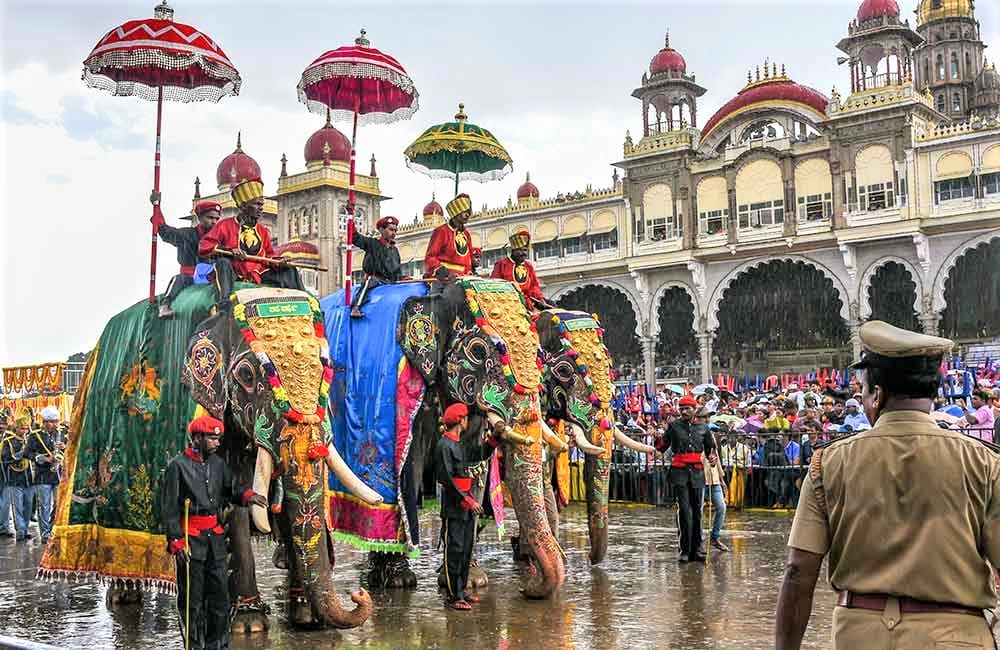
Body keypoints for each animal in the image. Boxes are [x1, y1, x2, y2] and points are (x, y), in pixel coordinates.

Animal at [324, 278, 568, 596]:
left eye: (538, 354)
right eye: (480, 352)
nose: (528, 587)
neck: (437, 291)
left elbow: (472, 465)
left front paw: (472, 579)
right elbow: (410, 469)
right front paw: (399, 579)